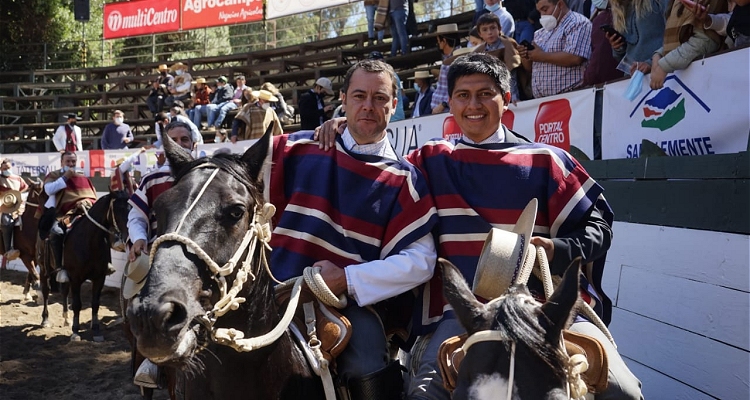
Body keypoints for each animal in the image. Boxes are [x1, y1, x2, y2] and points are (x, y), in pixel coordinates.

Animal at [38, 189, 131, 342]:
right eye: (119, 209)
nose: (128, 236)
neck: (89, 242)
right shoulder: (76, 278)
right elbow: (77, 304)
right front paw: (75, 331)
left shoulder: (99, 278)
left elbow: (95, 303)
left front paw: (96, 330)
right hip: (43, 269)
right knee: (46, 292)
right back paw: (45, 320)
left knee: (64, 291)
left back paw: (66, 319)